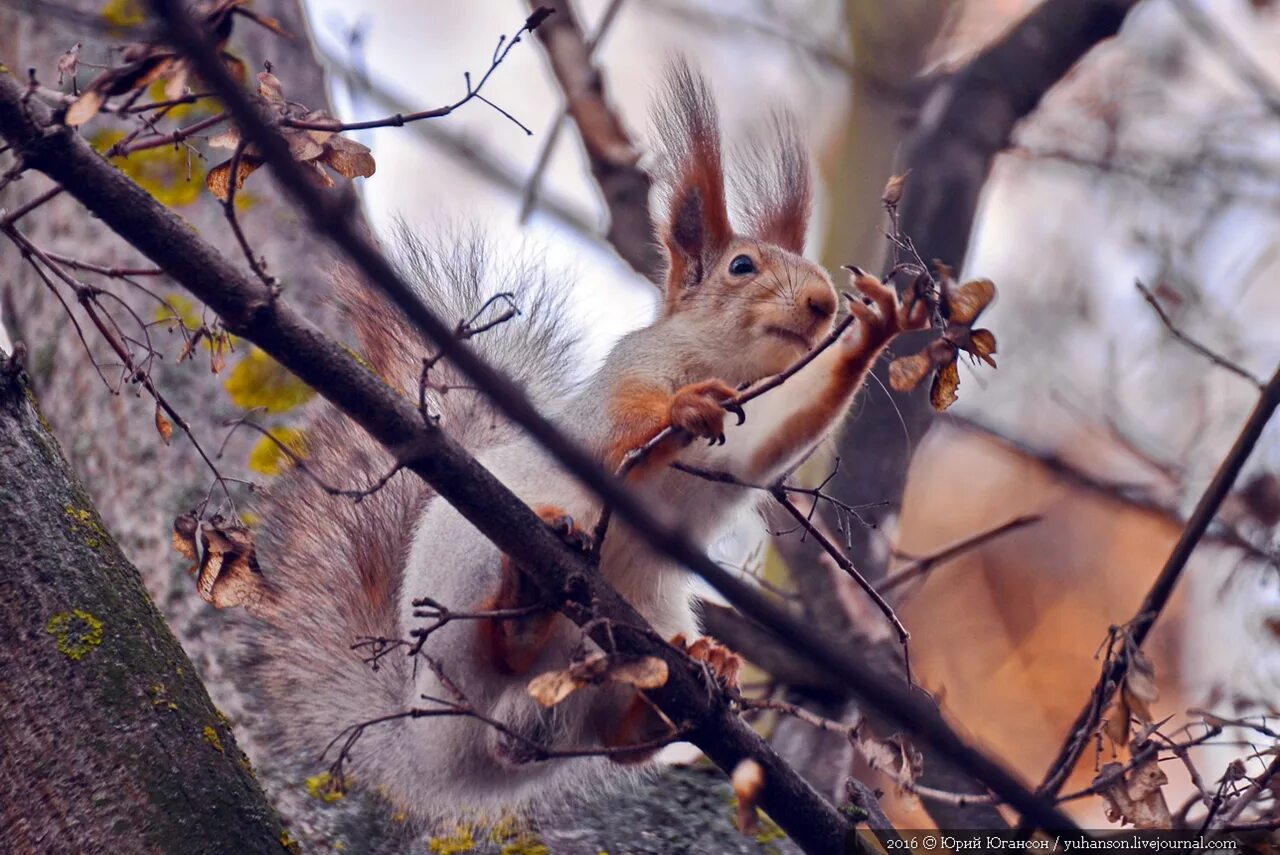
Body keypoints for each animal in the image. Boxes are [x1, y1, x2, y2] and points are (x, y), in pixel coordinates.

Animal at [230, 61, 926, 819]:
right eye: (742, 267)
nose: (823, 305)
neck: (729, 367)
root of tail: (440, 746)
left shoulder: (752, 434)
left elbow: (767, 449)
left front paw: (872, 333)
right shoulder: (625, 379)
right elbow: (623, 426)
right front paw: (685, 405)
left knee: (613, 743)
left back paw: (685, 683)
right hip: (470, 566)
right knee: (497, 651)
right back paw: (524, 608)